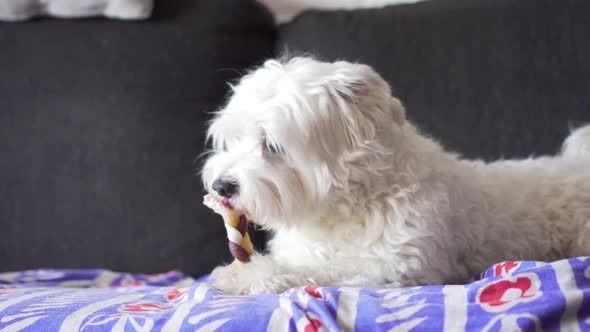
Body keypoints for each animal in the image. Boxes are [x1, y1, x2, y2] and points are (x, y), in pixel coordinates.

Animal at [202, 57, 590, 296]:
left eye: (271, 145)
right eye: (232, 138)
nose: (221, 186)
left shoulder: (397, 265)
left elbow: (325, 270)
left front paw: (250, 274)